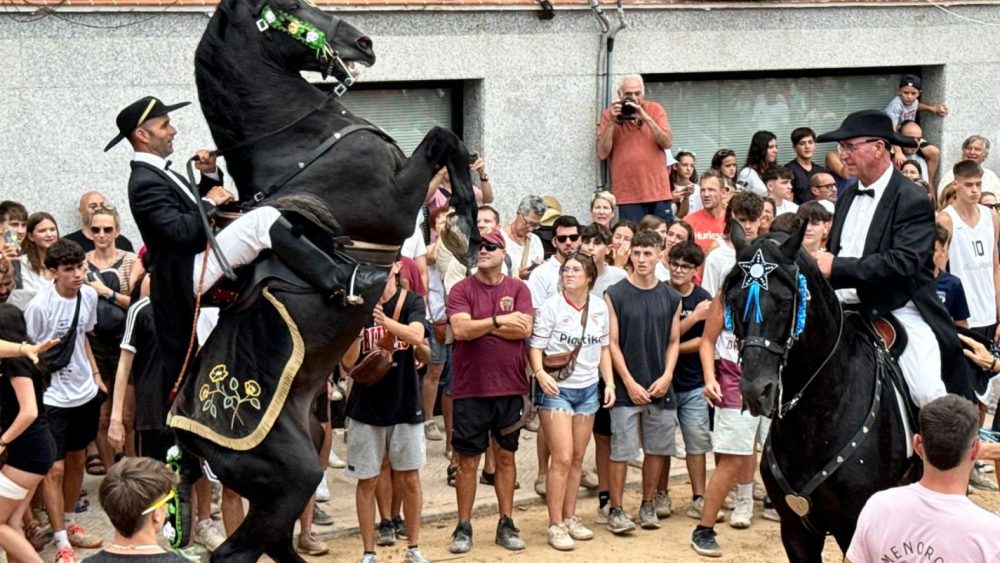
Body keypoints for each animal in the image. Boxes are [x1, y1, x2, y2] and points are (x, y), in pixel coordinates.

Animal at [168, 1, 480, 563]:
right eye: (290, 7)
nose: (364, 43)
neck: (300, 142)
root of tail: (188, 435)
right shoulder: (393, 203)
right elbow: (444, 140)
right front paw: (465, 227)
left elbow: (447, 144)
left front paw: (465, 229)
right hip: (290, 479)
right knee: (237, 552)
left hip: (296, 465)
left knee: (274, 544)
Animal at [724, 224, 916, 560]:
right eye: (734, 301)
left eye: (786, 301)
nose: (756, 392)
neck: (819, 417)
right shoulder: (796, 530)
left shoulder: (854, 529)